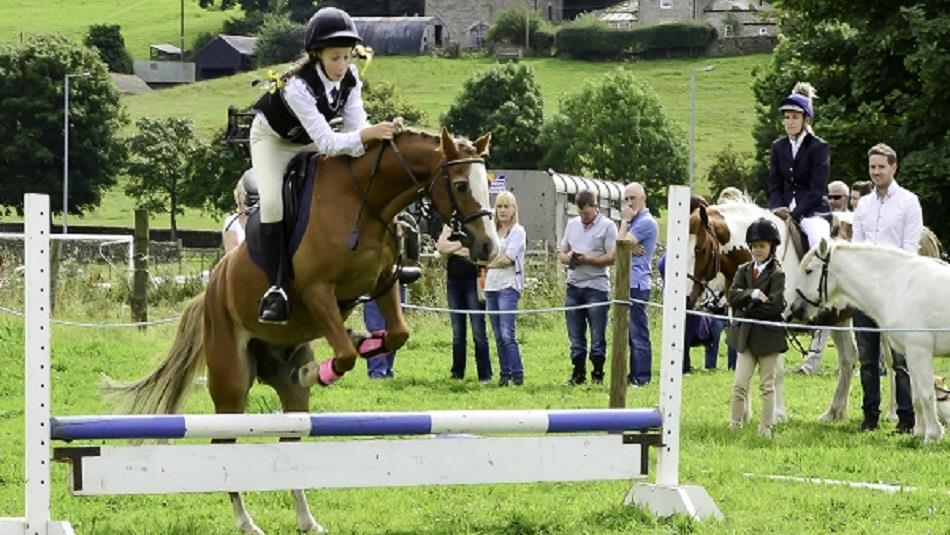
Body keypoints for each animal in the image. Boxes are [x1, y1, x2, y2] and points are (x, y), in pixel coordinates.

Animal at [106, 126, 498, 535]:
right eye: (460, 184)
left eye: (488, 183)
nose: (488, 246)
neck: (364, 201)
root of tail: (210, 289)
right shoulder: (317, 292)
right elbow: (344, 354)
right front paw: (319, 369)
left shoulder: (382, 284)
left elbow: (396, 334)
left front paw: (362, 341)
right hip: (231, 380)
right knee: (224, 444)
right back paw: (247, 522)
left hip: (286, 385)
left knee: (290, 439)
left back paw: (307, 519)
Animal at [688, 199, 860, 426]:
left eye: (700, 249)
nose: (687, 298)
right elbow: (745, 365)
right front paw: (743, 415)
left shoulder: (777, 324)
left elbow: (774, 371)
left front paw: (777, 415)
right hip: (839, 320)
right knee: (848, 359)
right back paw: (832, 413)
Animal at [792, 239, 948, 444]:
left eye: (809, 270)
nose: (796, 309)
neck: (901, 286)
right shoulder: (910, 354)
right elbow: (916, 396)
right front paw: (920, 433)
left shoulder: (919, 351)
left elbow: (926, 394)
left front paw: (932, 436)